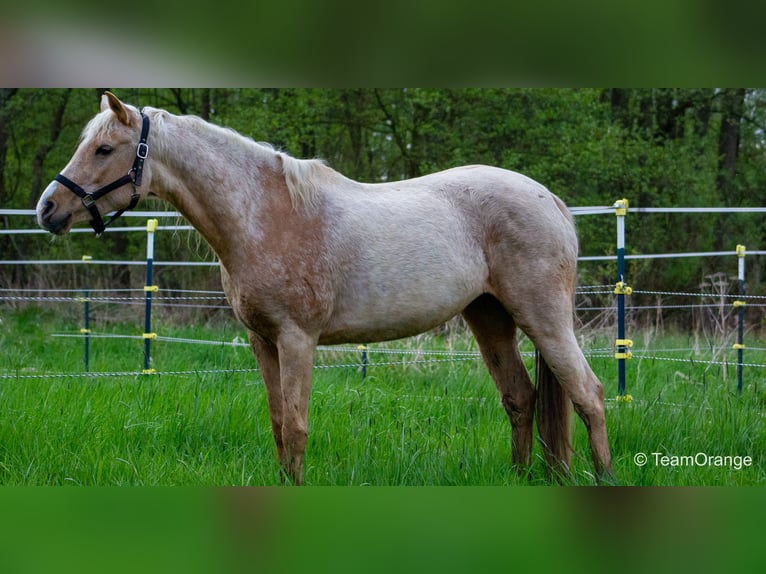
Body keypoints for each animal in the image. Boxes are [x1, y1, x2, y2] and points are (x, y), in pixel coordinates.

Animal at [36, 91, 616, 486]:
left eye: (104, 148)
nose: (47, 209)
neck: (266, 216)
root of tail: (550, 200)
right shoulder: (263, 342)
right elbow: (276, 424)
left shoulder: (297, 339)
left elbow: (296, 426)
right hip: (490, 316)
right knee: (520, 398)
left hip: (543, 317)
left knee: (588, 394)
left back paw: (605, 478)